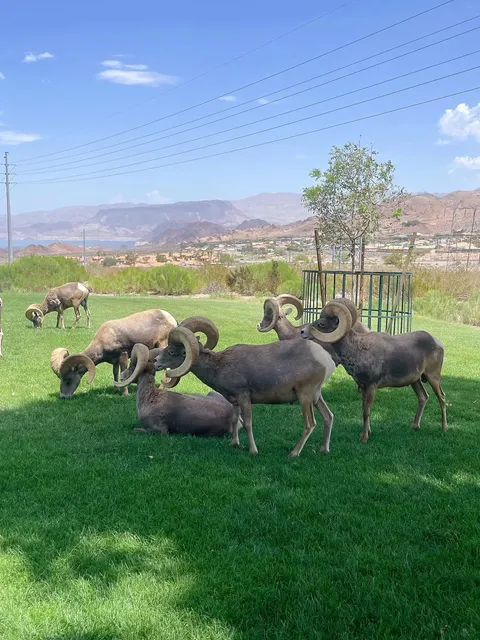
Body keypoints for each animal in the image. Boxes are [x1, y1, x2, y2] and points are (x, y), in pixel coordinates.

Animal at [154, 316, 336, 457]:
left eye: (172, 351)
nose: (156, 362)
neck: (219, 366)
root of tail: (326, 359)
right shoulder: (234, 401)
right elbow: (235, 420)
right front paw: (234, 444)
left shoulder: (244, 397)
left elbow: (247, 422)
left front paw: (253, 451)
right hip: (316, 397)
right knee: (328, 416)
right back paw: (324, 450)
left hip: (305, 397)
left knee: (310, 424)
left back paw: (293, 453)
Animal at [300, 300, 448, 442]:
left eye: (321, 324)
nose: (302, 332)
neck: (357, 349)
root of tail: (437, 342)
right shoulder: (363, 387)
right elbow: (363, 410)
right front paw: (368, 433)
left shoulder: (372, 386)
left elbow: (367, 411)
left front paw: (364, 438)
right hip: (416, 381)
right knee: (423, 397)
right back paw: (415, 426)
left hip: (433, 377)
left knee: (441, 397)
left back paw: (444, 428)